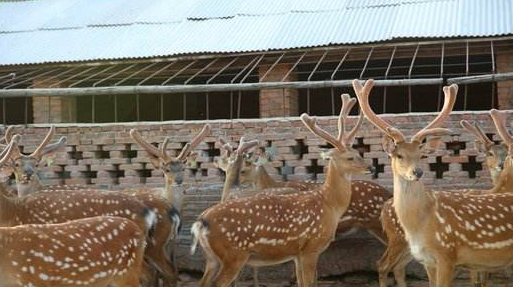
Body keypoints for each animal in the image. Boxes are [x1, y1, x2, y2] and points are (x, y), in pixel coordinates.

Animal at [192, 95, 372, 287]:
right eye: (350, 157)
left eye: (359, 153)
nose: (370, 167)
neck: (329, 204)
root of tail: (200, 223)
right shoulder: (310, 247)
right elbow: (309, 283)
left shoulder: (297, 253)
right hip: (233, 254)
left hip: (212, 259)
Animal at [356, 77, 513, 287]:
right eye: (399, 155)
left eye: (421, 155)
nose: (418, 171)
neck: (422, 224)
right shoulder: (429, 260)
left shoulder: (447, 253)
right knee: (385, 265)